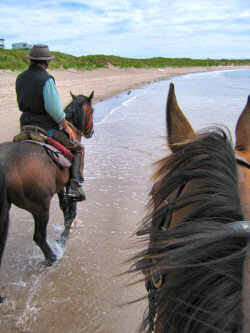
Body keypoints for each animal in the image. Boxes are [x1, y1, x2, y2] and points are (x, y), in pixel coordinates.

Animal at [0, 91, 94, 268]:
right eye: (92, 110)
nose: (91, 131)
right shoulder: (69, 186)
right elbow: (71, 211)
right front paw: (62, 240)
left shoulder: (60, 187)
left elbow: (65, 210)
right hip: (40, 207)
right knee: (39, 237)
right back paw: (52, 258)